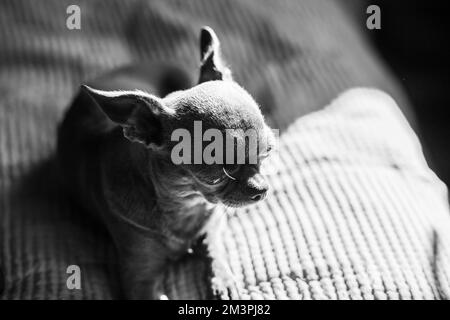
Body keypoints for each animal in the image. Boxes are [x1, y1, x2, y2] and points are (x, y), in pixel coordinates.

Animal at [56, 26, 274, 298]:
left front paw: (223, 280)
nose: (262, 189)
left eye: (267, 152)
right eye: (219, 175)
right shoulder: (139, 278)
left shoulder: (212, 223)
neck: (185, 203)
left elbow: (214, 249)